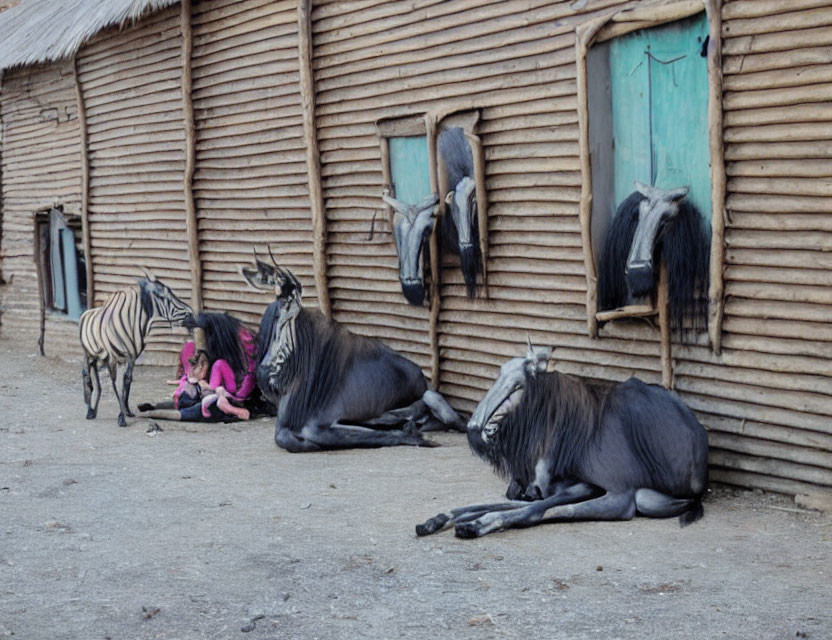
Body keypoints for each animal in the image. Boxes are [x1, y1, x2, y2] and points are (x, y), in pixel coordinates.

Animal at [80, 268, 193, 428]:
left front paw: (127, 411)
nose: (191, 314)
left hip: (97, 357)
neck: (132, 323)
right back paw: (89, 411)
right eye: (164, 298)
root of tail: (87, 311)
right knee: (87, 377)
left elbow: (127, 381)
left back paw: (94, 410)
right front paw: (121, 417)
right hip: (88, 354)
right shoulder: (113, 359)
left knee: (96, 380)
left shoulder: (131, 357)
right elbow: (116, 385)